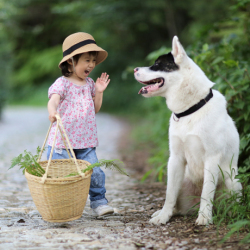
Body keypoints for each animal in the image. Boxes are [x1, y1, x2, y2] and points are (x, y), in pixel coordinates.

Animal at [135, 36, 242, 226]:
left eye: (157, 64)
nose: (135, 69)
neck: (191, 110)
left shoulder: (212, 158)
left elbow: (207, 192)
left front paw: (204, 218)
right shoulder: (175, 158)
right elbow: (169, 194)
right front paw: (163, 217)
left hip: (233, 182)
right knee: (176, 203)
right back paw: (164, 212)